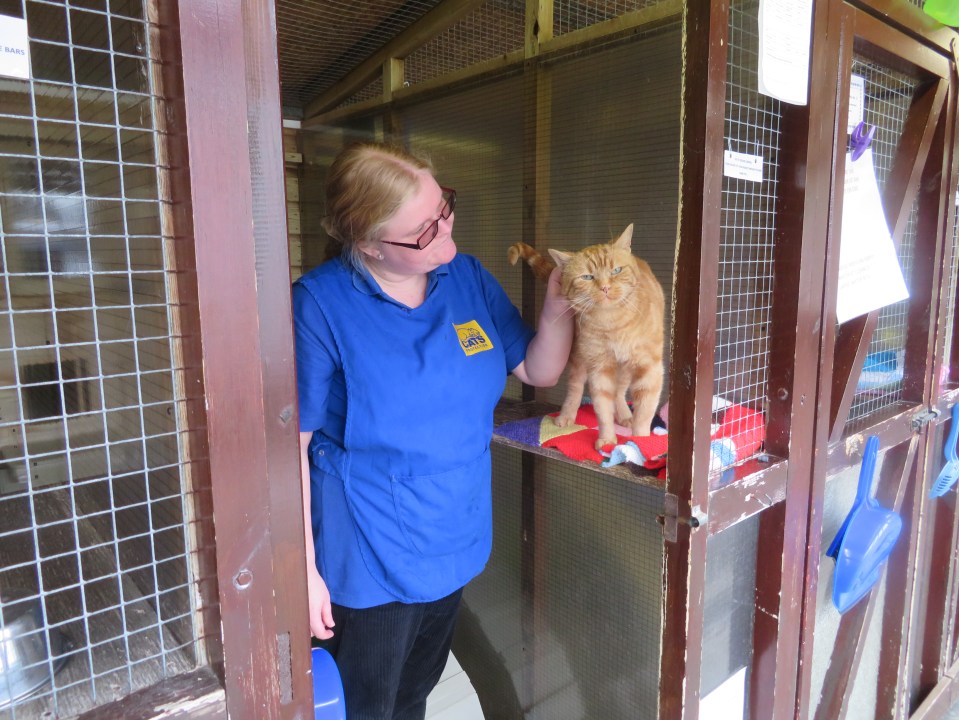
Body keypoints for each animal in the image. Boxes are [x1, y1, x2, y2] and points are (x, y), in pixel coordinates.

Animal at [512, 225, 664, 450]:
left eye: (616, 271)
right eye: (587, 277)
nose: (605, 287)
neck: (613, 322)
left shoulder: (649, 368)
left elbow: (644, 412)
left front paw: (640, 442)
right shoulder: (599, 368)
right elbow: (602, 408)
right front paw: (607, 439)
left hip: (625, 369)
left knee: (620, 392)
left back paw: (624, 414)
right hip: (580, 358)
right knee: (575, 388)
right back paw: (566, 415)